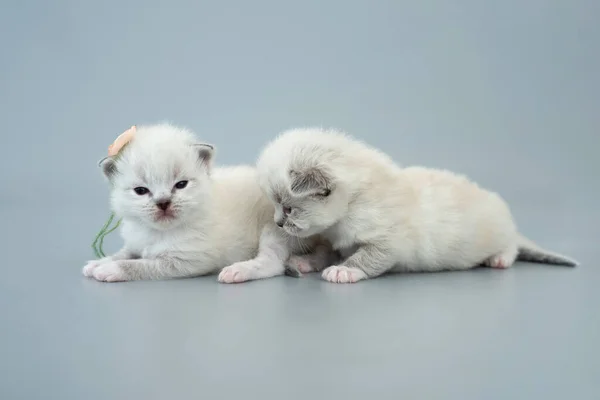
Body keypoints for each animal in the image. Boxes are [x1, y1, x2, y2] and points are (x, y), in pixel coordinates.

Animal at [82, 123, 324, 282]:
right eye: (141, 191)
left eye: (181, 185)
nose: (163, 202)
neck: (159, 232)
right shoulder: (136, 241)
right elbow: (125, 253)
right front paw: (100, 262)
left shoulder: (187, 261)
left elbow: (140, 264)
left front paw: (111, 269)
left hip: (277, 227)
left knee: (273, 263)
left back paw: (237, 271)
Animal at [240, 126, 580, 282]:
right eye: (276, 206)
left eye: (287, 207)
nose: (278, 223)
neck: (350, 207)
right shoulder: (336, 238)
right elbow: (325, 253)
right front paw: (305, 262)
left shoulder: (388, 242)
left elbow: (365, 258)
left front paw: (343, 271)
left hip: (503, 231)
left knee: (511, 245)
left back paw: (499, 259)